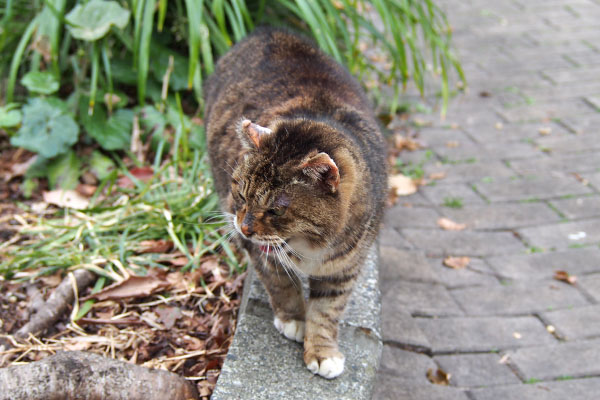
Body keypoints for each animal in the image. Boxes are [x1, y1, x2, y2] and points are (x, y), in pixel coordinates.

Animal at [204, 27, 386, 378]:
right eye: (241, 195)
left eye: (275, 210)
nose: (244, 228)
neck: (310, 243)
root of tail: (268, 30)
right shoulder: (259, 250)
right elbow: (280, 283)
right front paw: (293, 319)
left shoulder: (345, 269)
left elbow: (327, 311)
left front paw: (322, 351)